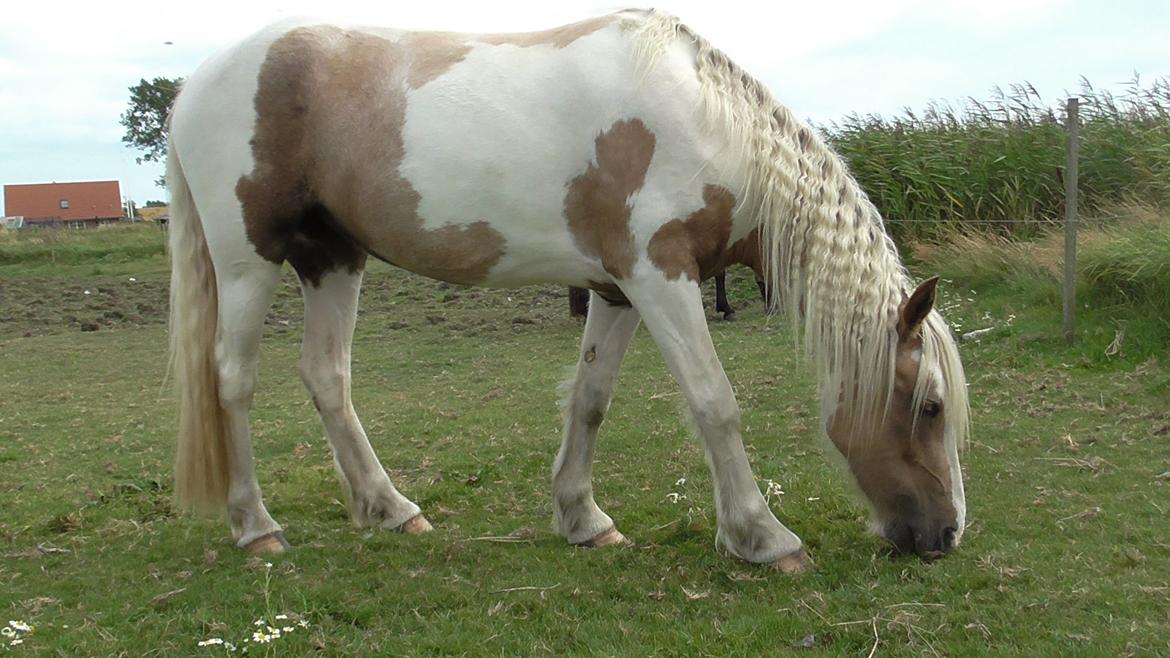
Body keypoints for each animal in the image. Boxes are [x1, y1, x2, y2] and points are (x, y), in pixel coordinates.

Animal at [167, 8, 968, 569]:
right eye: (929, 406)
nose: (946, 534)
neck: (700, 121)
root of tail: (196, 84)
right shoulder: (660, 276)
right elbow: (715, 403)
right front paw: (763, 537)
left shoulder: (616, 290)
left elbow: (590, 400)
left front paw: (583, 520)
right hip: (248, 260)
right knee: (232, 379)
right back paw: (256, 527)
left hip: (332, 258)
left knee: (327, 376)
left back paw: (390, 508)